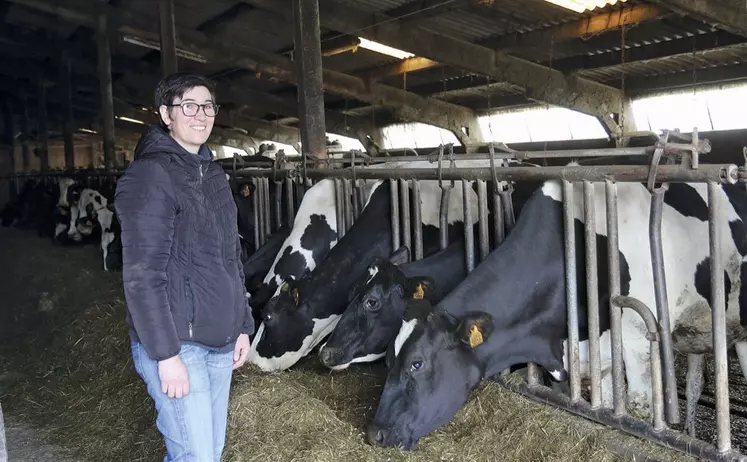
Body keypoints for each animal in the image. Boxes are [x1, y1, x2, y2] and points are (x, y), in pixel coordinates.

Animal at [372, 176, 747, 448]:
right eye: (388, 359)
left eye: (417, 364)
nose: (374, 432)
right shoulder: (595, 355)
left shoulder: (638, 340)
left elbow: (640, 409)